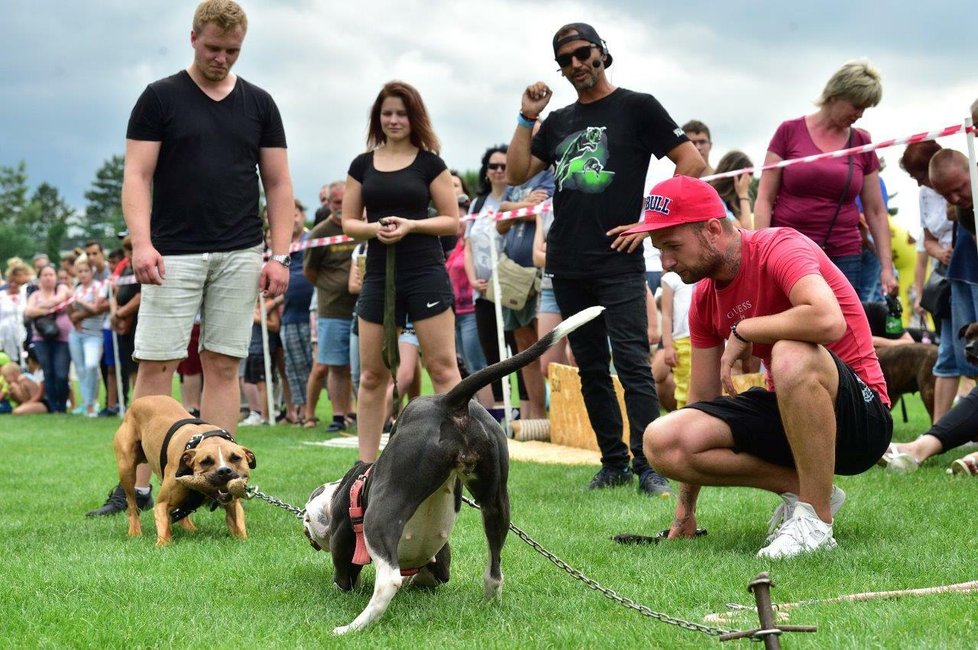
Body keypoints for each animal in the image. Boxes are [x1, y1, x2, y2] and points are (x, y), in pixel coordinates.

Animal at [114, 394, 255, 540]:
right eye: (206, 461)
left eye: (235, 458)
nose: (224, 471)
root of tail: (141, 400)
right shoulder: (161, 504)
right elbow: (163, 530)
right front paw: (163, 542)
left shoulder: (233, 505)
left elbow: (239, 528)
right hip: (126, 469)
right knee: (132, 505)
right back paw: (135, 531)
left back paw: (190, 529)